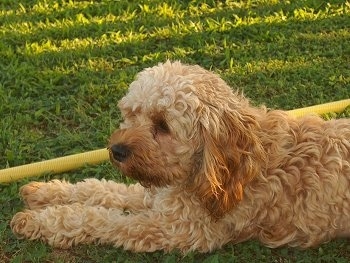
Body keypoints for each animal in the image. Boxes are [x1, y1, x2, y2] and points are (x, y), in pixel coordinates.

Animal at [10, 60, 350, 253]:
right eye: (131, 114)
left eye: (163, 125)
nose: (116, 151)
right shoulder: (157, 195)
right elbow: (102, 189)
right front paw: (46, 192)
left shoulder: (180, 230)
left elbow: (102, 219)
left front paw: (39, 219)